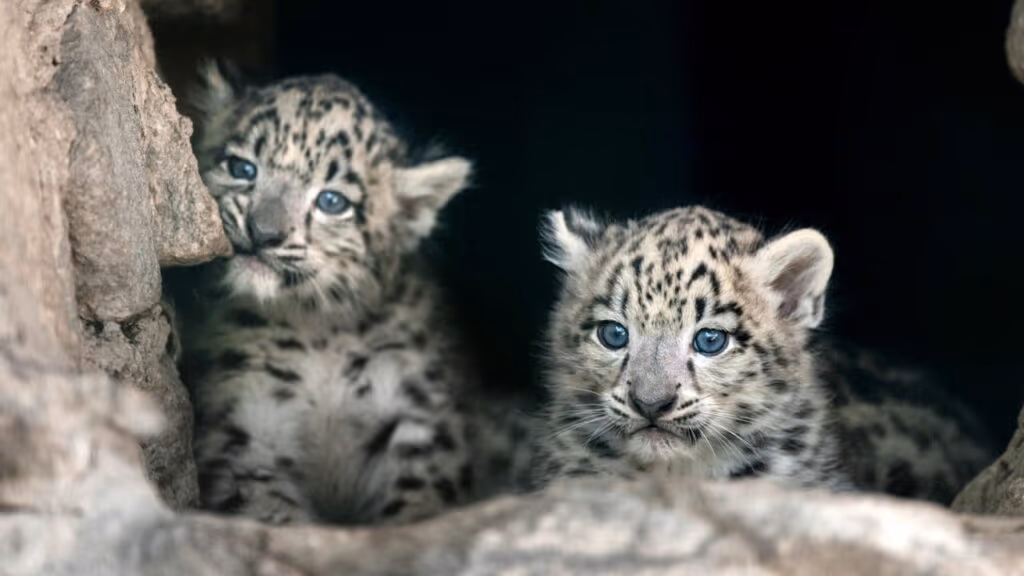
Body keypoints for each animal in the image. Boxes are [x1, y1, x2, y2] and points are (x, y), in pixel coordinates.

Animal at [176, 61, 484, 526]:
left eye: (332, 201)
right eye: (242, 168)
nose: (263, 233)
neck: (318, 333)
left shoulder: (419, 422)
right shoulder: (244, 429)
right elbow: (268, 509)